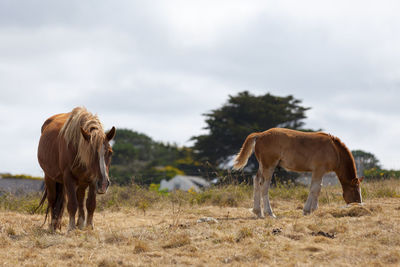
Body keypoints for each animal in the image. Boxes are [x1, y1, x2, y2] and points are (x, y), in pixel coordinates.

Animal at [233, 129, 364, 219]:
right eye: (354, 190)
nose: (358, 204)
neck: (334, 150)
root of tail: (260, 135)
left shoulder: (320, 172)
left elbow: (318, 188)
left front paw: (314, 209)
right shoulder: (318, 170)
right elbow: (314, 189)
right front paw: (307, 210)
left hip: (262, 166)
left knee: (256, 181)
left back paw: (258, 212)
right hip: (269, 166)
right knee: (264, 186)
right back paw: (269, 213)